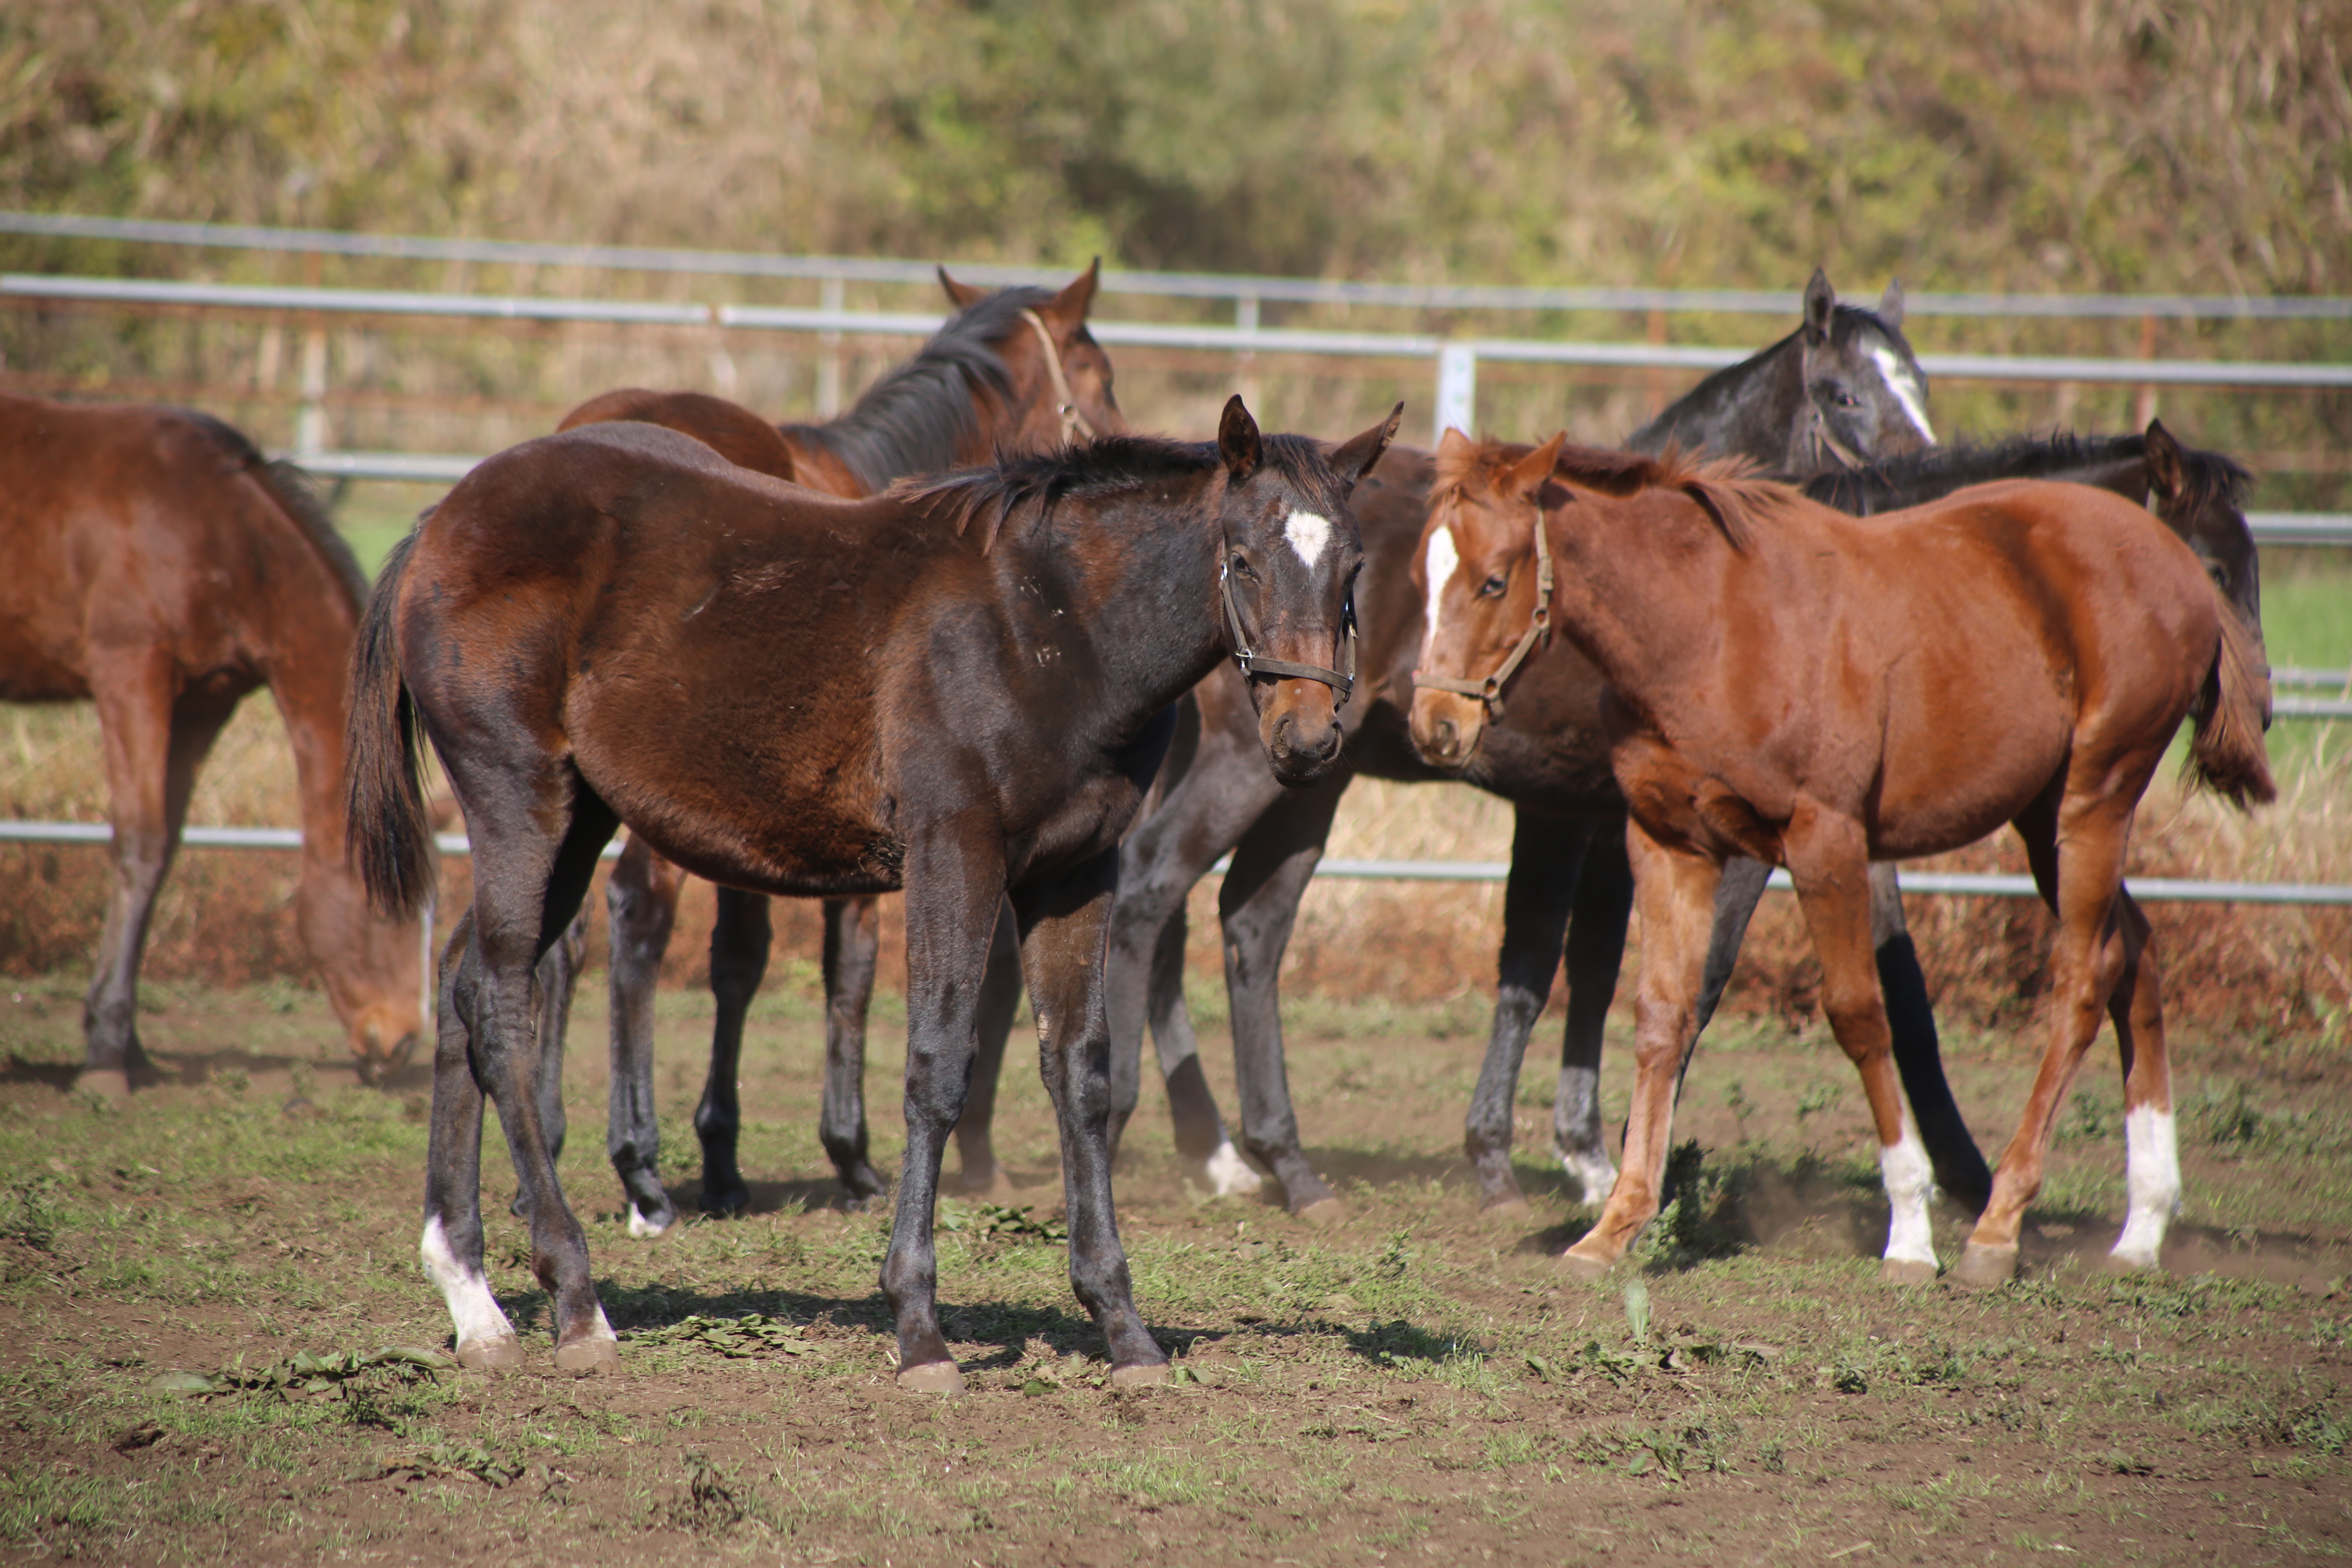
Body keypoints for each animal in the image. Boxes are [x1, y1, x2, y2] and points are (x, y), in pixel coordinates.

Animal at [0, 392, 423, 1100]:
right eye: (387, 907)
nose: (402, 1042)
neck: (224, 531)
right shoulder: (129, 672)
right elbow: (140, 844)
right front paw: (105, 1057)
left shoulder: (202, 703)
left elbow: (166, 853)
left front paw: (130, 1046)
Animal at [341, 399, 1383, 1392]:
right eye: (1241, 558)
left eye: (1354, 569)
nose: (1306, 739)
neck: (1046, 624)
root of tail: (444, 519)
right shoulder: (954, 851)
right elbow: (936, 1066)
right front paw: (919, 1331)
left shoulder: (1077, 872)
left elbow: (1081, 1072)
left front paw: (1123, 1328)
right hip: (521, 798)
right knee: (500, 1005)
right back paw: (575, 1301)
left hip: (577, 820)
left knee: (462, 986)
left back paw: (474, 1301)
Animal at [539, 261, 1124, 1241]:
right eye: (1099, 374)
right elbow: (848, 972)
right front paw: (850, 1158)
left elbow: (738, 965)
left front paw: (724, 1159)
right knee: (634, 923)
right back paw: (639, 1166)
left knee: (569, 930)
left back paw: (544, 1148)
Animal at [1082, 270, 1947, 1222]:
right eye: (1843, 394)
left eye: (1922, 385)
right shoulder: (1586, 812)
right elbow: (1586, 966)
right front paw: (1554, 1166)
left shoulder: (1600, 816)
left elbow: (1589, 963)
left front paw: (1584, 1159)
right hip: (1245, 763)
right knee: (1154, 888)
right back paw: (1168, 1137)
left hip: (1307, 774)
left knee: (1246, 924)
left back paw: (1267, 1161)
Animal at [1411, 439, 2276, 1288]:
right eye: (1423, 575)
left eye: (1494, 580)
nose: (1435, 725)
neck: (1708, 629)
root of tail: (2166, 557)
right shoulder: (1668, 843)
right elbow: (1661, 1018)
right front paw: (1613, 1227)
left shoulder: (1823, 839)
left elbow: (1859, 1015)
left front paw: (1911, 1232)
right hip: (2043, 820)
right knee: (2137, 954)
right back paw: (2143, 1227)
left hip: (2097, 798)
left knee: (2084, 980)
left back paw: (1998, 1229)